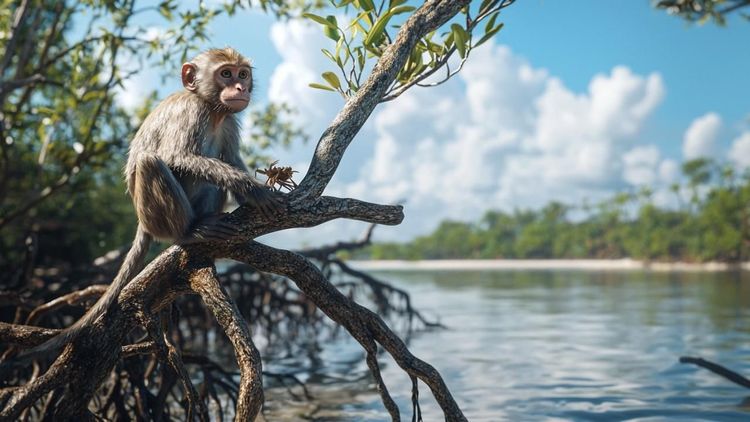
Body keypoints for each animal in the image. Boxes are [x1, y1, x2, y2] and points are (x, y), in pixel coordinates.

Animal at [23, 47, 280, 357]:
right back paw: (189, 232)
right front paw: (253, 189)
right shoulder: (191, 113)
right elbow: (179, 157)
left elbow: (230, 159)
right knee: (151, 162)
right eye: (226, 74)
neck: (212, 109)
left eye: (242, 74)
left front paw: (253, 194)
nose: (241, 87)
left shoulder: (229, 122)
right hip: (154, 216)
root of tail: (142, 221)